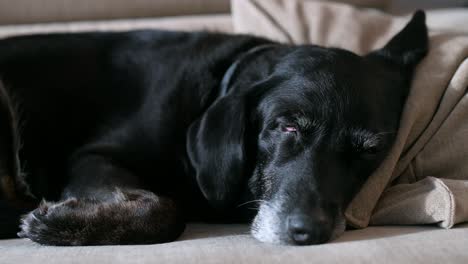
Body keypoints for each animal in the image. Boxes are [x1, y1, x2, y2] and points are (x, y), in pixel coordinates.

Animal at [0, 10, 426, 245]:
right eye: (287, 127)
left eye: (369, 151)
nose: (309, 232)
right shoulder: (92, 156)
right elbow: (166, 210)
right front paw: (58, 223)